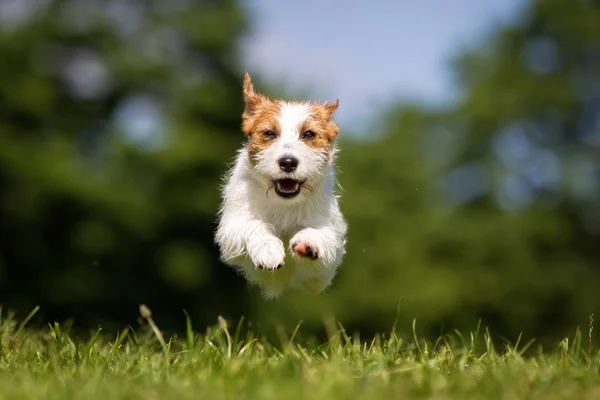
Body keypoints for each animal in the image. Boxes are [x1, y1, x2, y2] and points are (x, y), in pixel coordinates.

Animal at [214, 72, 346, 298]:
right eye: (269, 133)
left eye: (309, 134)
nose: (288, 162)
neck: (283, 203)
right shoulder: (231, 227)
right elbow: (252, 225)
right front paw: (268, 249)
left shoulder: (332, 238)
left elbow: (321, 233)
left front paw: (308, 243)